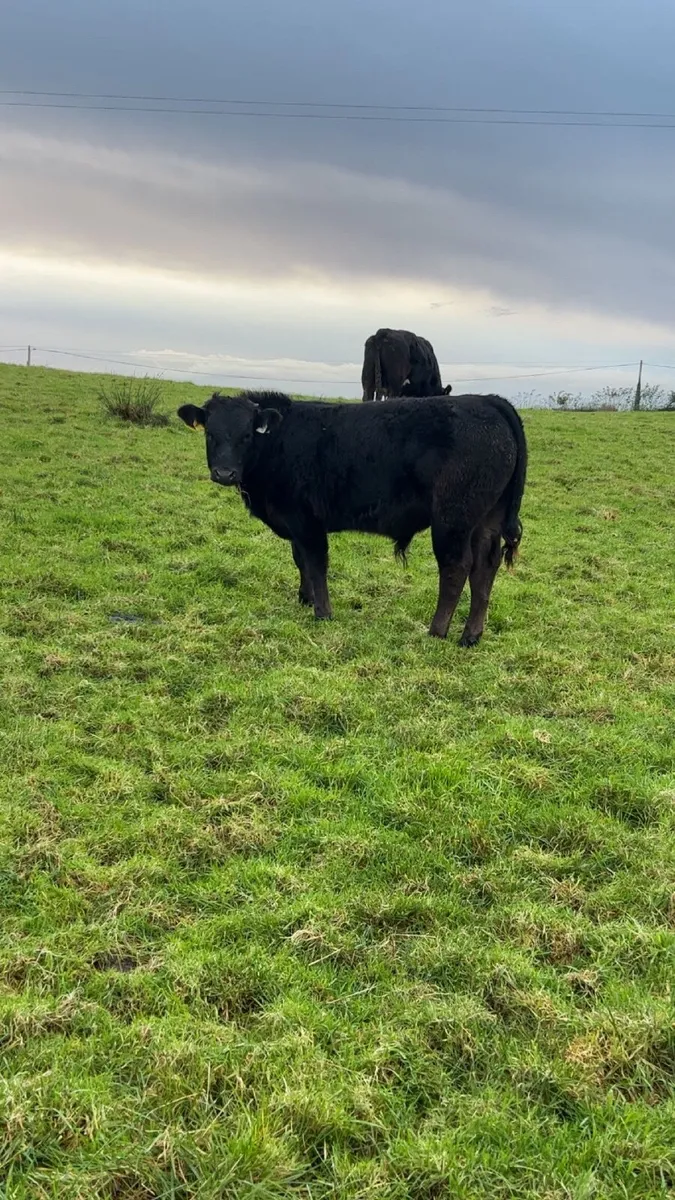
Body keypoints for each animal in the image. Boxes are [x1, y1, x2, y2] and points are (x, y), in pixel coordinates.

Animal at [177, 390, 526, 643]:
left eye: (246, 436)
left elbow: (316, 564)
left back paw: (437, 631)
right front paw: (305, 598)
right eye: (210, 434)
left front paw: (322, 611)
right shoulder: (294, 524)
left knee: (456, 568)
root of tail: (486, 400)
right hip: (485, 520)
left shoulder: (307, 521)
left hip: (452, 520)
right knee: (484, 569)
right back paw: (471, 635)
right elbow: (300, 561)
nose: (225, 473)